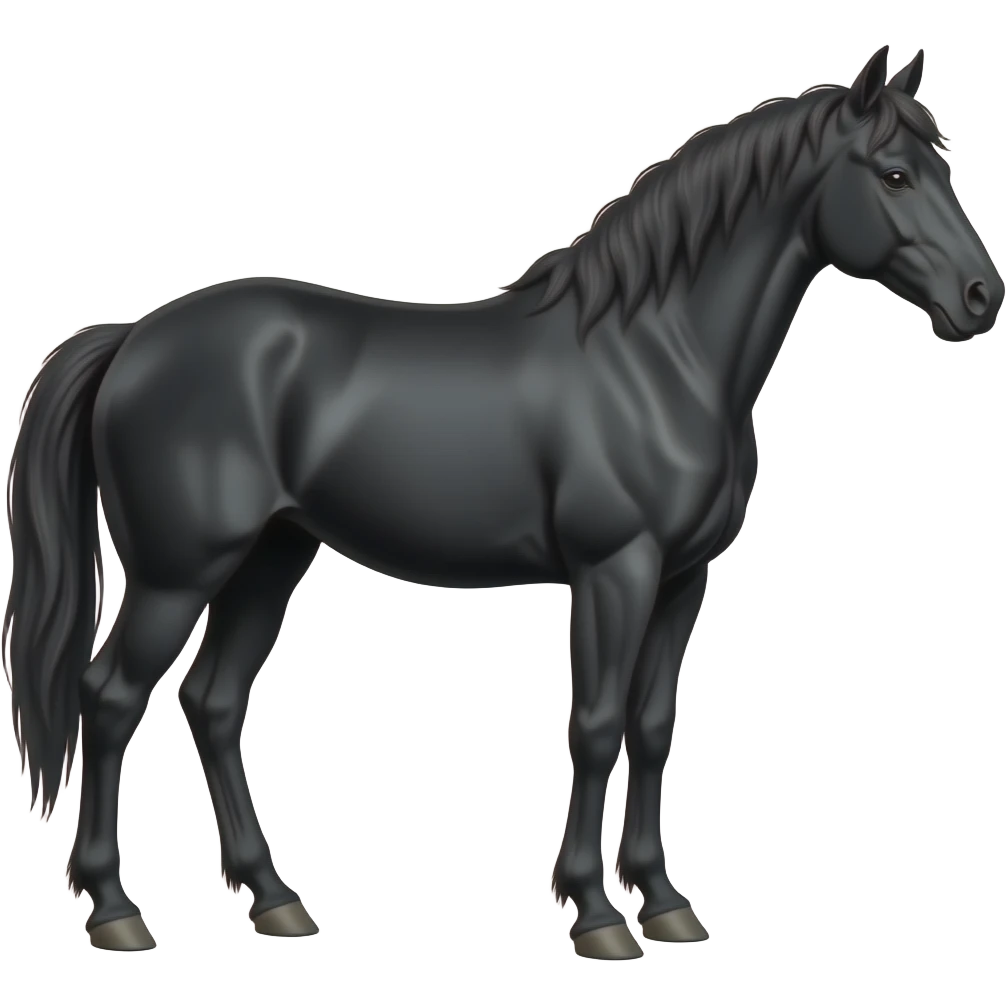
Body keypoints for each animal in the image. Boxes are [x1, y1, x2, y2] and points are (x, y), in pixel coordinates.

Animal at [3, 44, 1001, 958]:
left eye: (942, 162)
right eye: (896, 173)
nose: (981, 297)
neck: (657, 356)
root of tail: (133, 339)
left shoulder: (683, 579)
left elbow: (652, 726)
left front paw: (664, 901)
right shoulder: (615, 571)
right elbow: (594, 727)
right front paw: (595, 913)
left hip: (268, 559)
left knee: (211, 702)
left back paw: (276, 901)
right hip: (178, 574)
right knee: (108, 698)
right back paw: (116, 910)